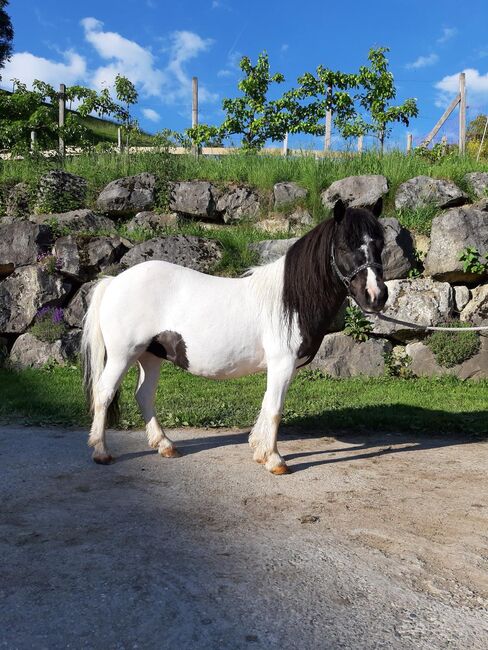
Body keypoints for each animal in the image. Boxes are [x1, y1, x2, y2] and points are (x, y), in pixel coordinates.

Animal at [83, 200, 388, 474]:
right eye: (344, 246)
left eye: (380, 245)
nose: (376, 296)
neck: (290, 299)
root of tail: (114, 281)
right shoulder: (282, 364)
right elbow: (275, 408)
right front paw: (275, 460)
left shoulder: (282, 368)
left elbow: (267, 405)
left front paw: (260, 450)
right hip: (123, 355)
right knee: (104, 392)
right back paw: (101, 451)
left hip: (150, 356)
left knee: (144, 395)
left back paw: (165, 445)